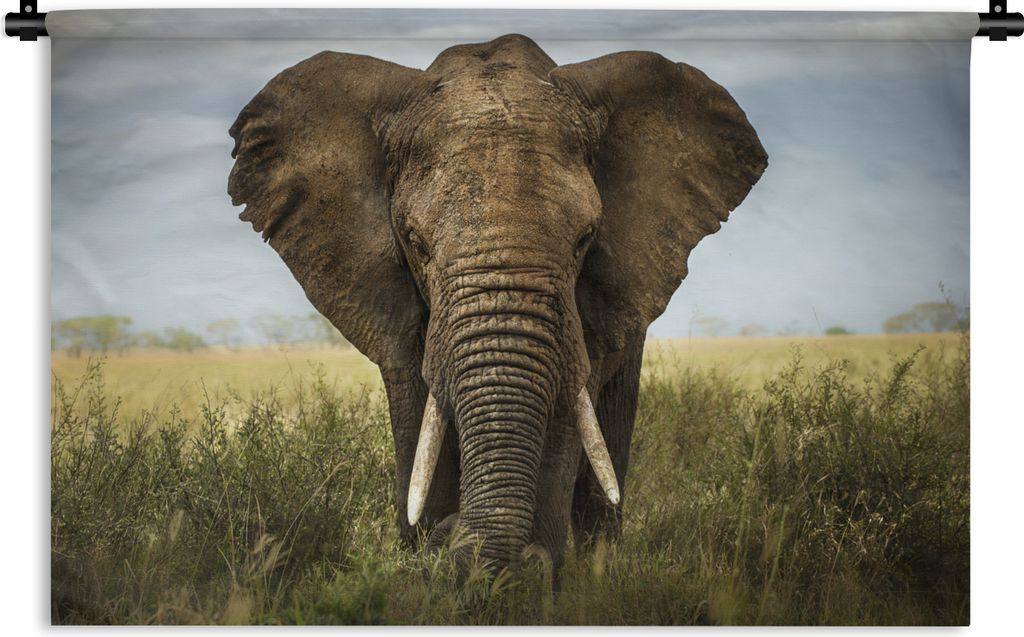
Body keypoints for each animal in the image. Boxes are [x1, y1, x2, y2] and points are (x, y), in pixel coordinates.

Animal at [228, 34, 767, 577]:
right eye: (416, 244)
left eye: (584, 240)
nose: (450, 536)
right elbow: (418, 414)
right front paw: (430, 556)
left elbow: (566, 412)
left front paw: (530, 573)